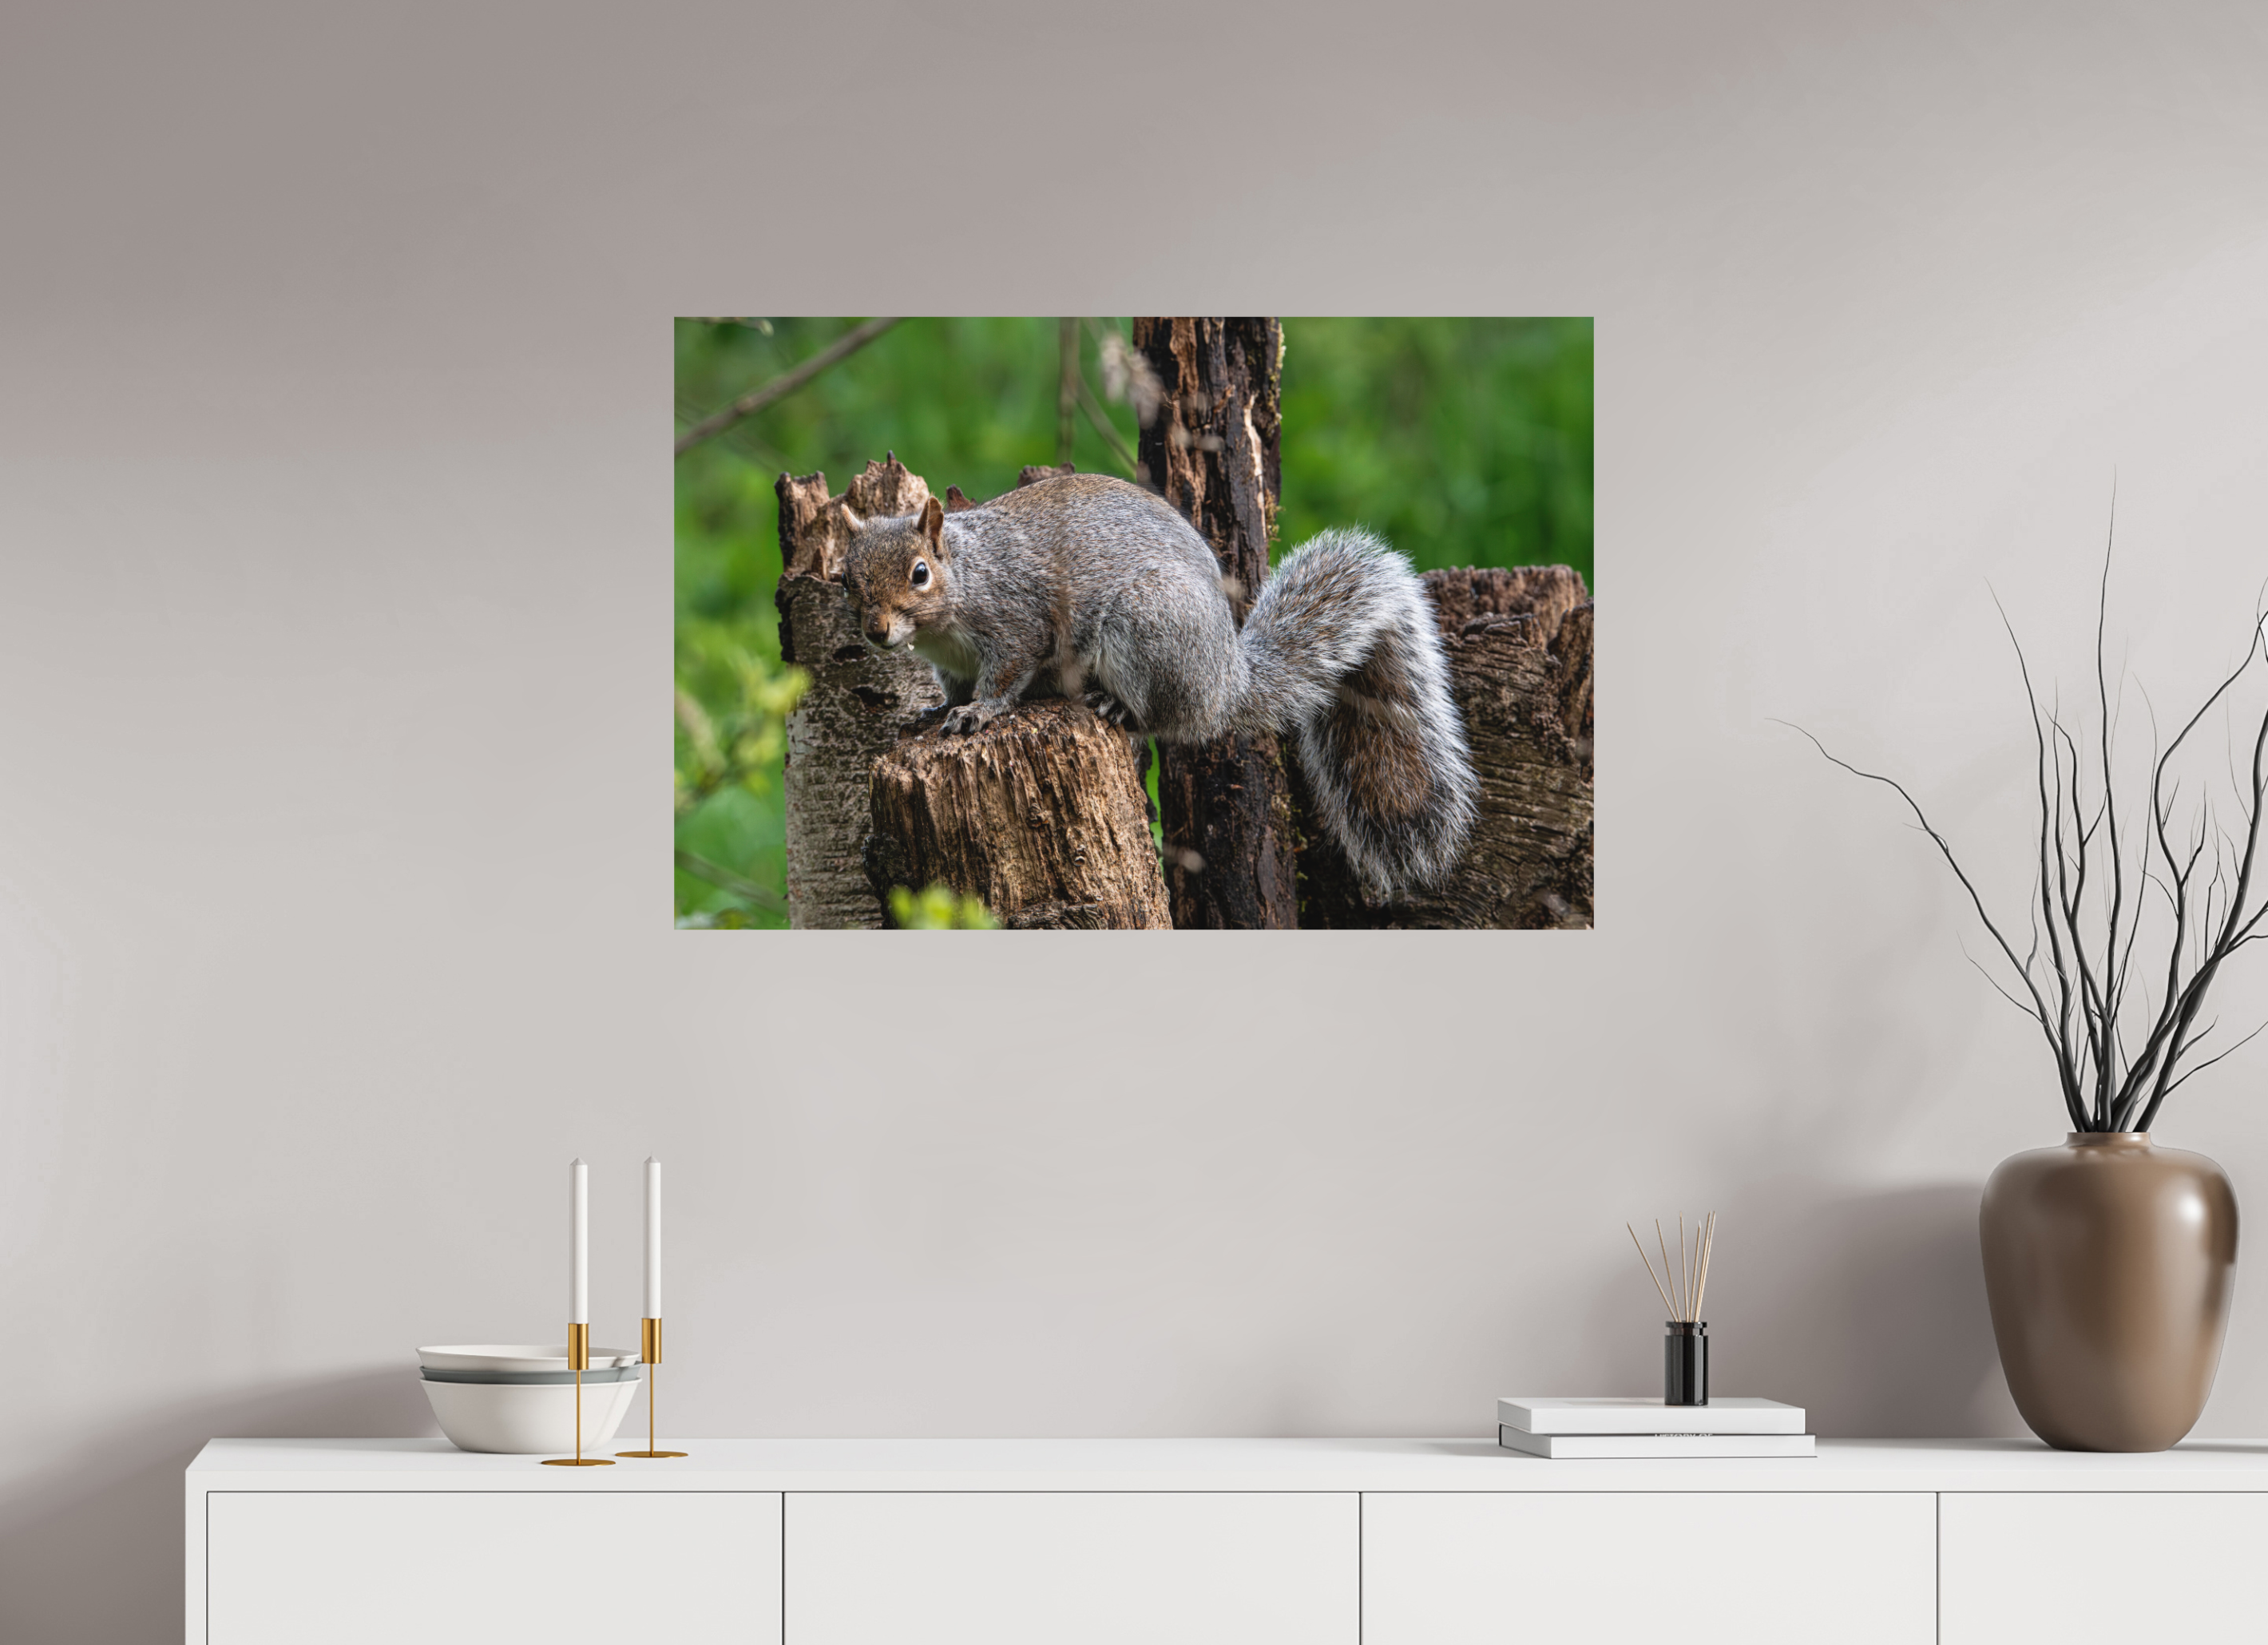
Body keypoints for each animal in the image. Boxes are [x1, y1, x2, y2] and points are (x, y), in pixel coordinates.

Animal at [840, 471, 1478, 895]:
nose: (875, 632)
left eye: (920, 574)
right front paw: (931, 714)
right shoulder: (950, 665)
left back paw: (1118, 708)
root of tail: (1225, 683)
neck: (966, 581)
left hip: (1147, 630)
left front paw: (980, 713)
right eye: (846, 579)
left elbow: (1005, 677)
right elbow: (951, 689)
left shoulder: (1017, 625)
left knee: (1163, 718)